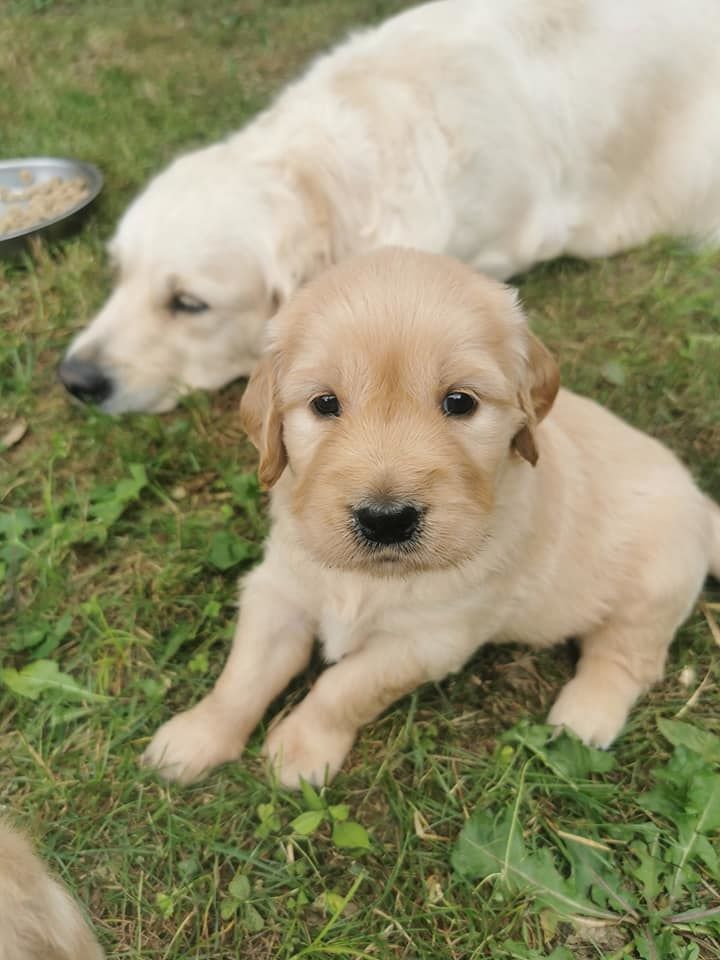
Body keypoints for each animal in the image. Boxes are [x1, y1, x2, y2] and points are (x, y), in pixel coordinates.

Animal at [142, 248, 720, 788]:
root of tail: (699, 498)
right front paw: (197, 736)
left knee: (627, 659)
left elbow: (344, 688)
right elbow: (244, 674)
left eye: (460, 402)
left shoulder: (430, 639)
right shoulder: (278, 591)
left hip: (655, 585)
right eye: (325, 403)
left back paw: (583, 717)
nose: (386, 519)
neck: (367, 580)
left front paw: (300, 748)